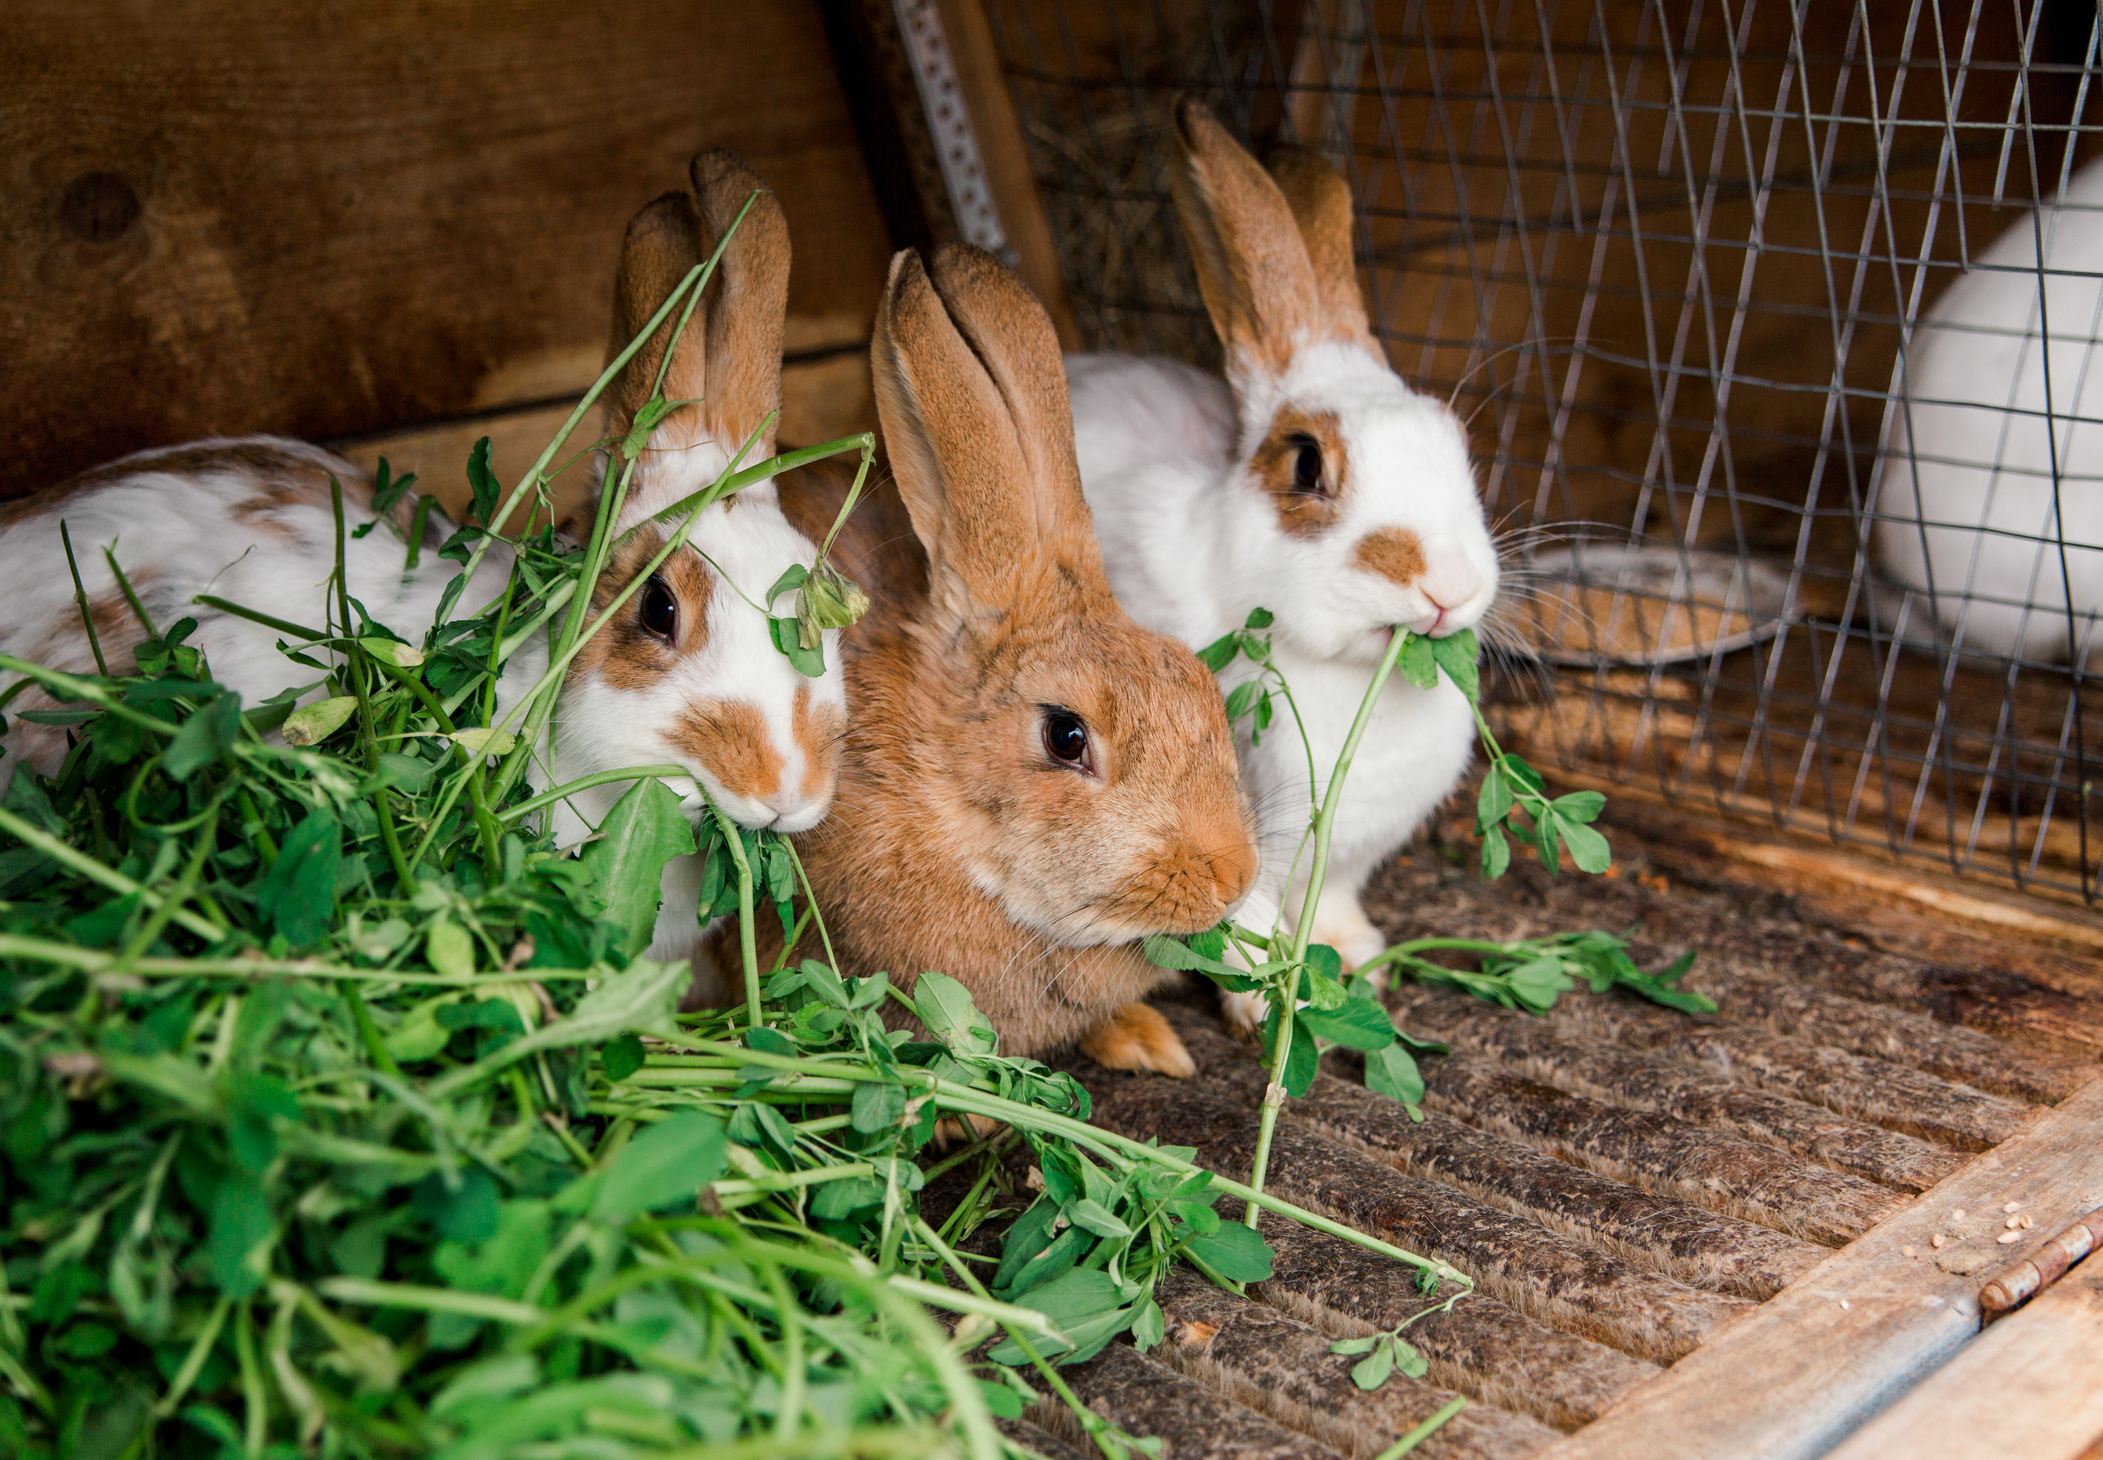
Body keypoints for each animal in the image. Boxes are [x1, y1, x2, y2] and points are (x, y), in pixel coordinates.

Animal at [1068, 103, 1497, 1018]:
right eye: (1305, 464)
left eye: (1457, 445)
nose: (1448, 587)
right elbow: (1237, 915)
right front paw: (1263, 1003)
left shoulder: (1344, 860)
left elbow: (1329, 899)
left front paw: (1357, 954)